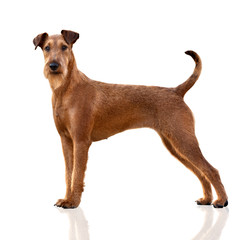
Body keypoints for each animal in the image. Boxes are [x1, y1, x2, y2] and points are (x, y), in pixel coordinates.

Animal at [33, 29, 227, 208]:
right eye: (47, 47)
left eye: (64, 47)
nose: (53, 65)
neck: (65, 90)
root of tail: (176, 91)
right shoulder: (66, 140)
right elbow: (68, 174)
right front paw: (66, 199)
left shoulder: (81, 141)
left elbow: (77, 175)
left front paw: (73, 202)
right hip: (174, 144)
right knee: (201, 172)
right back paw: (206, 199)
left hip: (183, 140)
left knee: (211, 170)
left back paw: (221, 201)